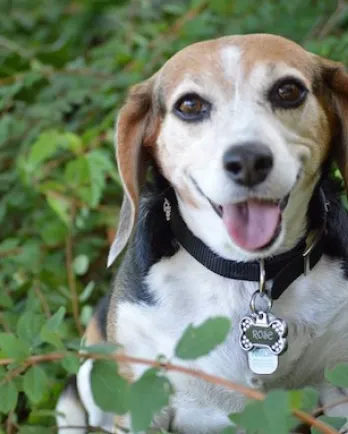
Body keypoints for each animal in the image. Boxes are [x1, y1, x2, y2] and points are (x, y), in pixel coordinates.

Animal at [55, 34, 348, 434]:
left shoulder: (336, 381)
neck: (245, 271)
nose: (248, 160)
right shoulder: (141, 398)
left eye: (288, 91)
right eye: (190, 105)